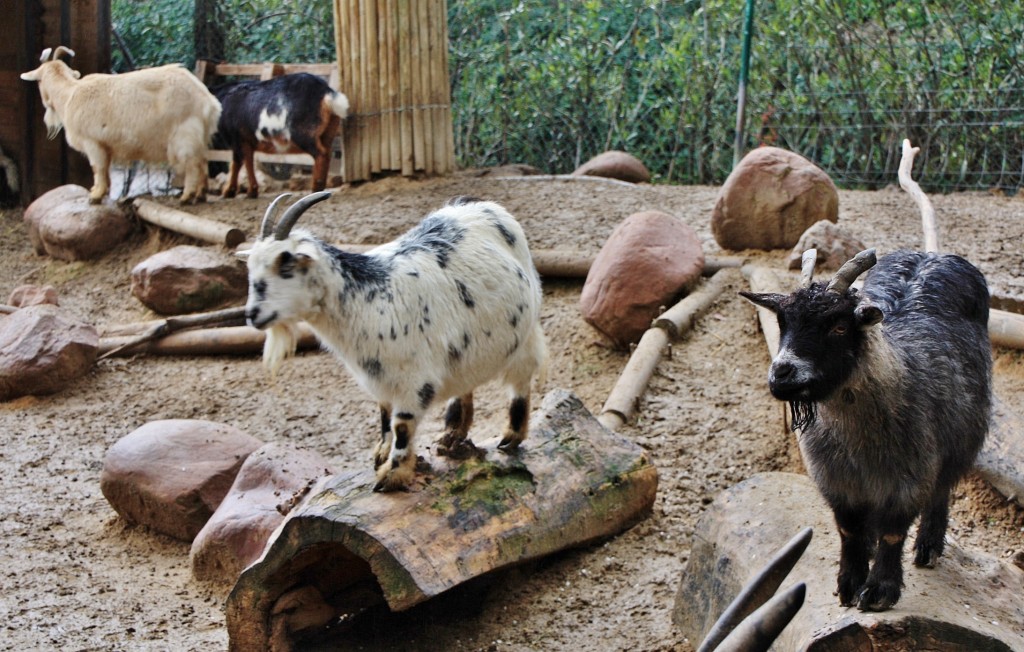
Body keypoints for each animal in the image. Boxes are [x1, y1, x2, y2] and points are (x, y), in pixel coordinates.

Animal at [239, 190, 548, 491]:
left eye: (285, 266)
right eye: (251, 269)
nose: (252, 315)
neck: (367, 298)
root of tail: (482, 206)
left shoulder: (413, 379)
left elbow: (402, 425)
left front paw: (392, 475)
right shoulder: (382, 375)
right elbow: (385, 417)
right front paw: (381, 455)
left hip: (526, 331)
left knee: (521, 381)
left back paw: (511, 436)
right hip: (466, 346)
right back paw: (452, 433)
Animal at [745, 247, 991, 610]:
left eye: (839, 327)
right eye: (782, 322)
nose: (782, 374)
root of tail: (932, 254)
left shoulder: (910, 477)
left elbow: (893, 532)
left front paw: (879, 591)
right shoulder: (836, 480)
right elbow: (849, 530)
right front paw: (848, 584)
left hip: (961, 438)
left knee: (942, 489)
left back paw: (928, 547)